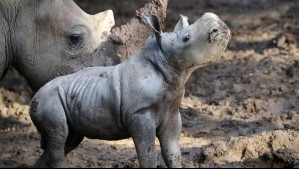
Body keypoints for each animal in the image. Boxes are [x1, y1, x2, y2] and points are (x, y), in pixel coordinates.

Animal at [29, 12, 232, 168]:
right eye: (187, 38)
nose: (220, 27)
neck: (166, 63)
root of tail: (33, 97)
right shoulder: (139, 113)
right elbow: (148, 153)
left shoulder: (172, 111)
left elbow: (172, 152)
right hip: (48, 100)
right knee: (59, 138)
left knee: (67, 140)